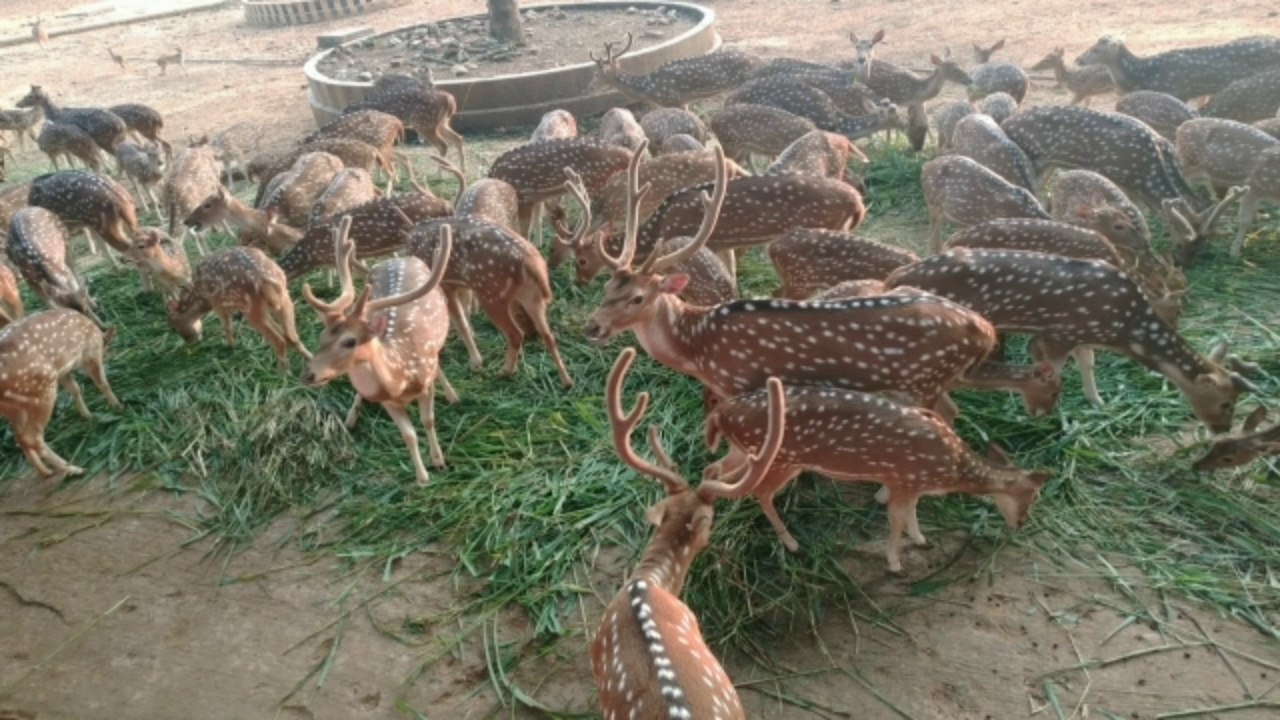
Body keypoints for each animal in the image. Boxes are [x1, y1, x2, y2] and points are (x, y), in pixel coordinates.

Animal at [0, 309, 122, 478]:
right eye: (106, 348)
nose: (111, 356)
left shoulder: (62, 371)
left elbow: (75, 388)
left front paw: (88, 416)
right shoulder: (90, 352)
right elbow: (102, 382)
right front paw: (117, 406)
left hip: (14, 407)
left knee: (19, 438)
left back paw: (45, 471)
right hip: (42, 391)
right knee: (32, 438)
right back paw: (74, 469)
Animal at [167, 246, 309, 370]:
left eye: (174, 327)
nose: (191, 342)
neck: (201, 298)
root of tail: (263, 280)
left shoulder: (217, 304)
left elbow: (227, 326)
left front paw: (230, 345)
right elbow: (280, 329)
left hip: (252, 308)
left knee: (279, 341)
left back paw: (282, 373)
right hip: (283, 296)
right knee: (291, 336)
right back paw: (308, 360)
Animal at [300, 217, 456, 485]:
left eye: (349, 341)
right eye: (321, 337)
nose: (308, 374)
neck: (400, 379)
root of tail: (399, 257)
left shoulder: (425, 384)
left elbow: (428, 421)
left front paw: (439, 461)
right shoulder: (387, 402)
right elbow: (409, 436)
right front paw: (422, 478)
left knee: (439, 361)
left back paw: (452, 393)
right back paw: (351, 417)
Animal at [590, 34, 760, 109]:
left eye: (597, 74)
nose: (588, 88)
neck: (648, 88)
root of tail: (754, 60)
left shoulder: (673, 99)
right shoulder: (683, 102)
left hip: (741, 83)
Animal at [884, 248, 1256, 431]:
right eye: (1227, 403)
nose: (1223, 429)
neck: (1124, 330)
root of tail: (894, 276)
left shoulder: (1082, 335)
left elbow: (1088, 363)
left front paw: (1098, 402)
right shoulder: (1059, 334)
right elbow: (1050, 368)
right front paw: (1046, 412)